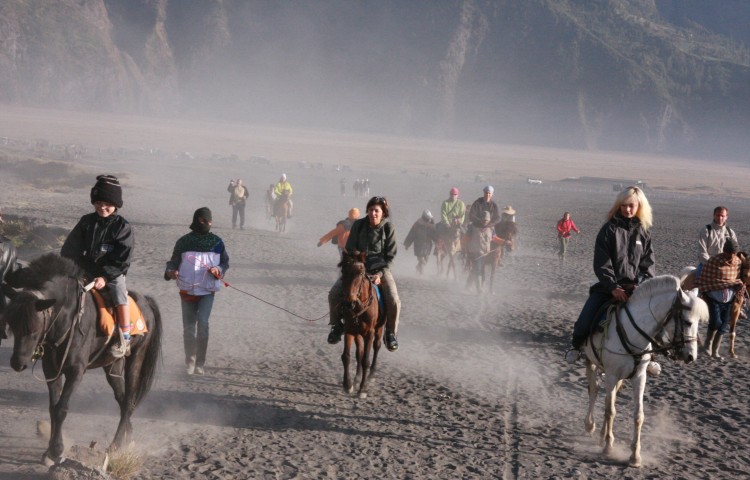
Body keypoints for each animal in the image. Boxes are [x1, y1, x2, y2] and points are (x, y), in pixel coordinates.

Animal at [1, 253, 162, 466]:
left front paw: (56, 451)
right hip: (112, 365)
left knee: (129, 400)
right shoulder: (51, 371)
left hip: (136, 358)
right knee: (122, 399)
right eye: (12, 324)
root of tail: (146, 301)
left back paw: (116, 445)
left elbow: (61, 408)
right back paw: (127, 437)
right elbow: (53, 408)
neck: (66, 319)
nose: (18, 363)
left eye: (34, 328)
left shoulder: (76, 371)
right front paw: (49, 451)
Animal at [340, 251, 388, 398]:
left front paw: (363, 389)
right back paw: (356, 378)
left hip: (379, 328)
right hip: (358, 333)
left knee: (376, 346)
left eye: (361, 273)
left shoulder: (370, 333)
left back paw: (370, 376)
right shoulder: (349, 330)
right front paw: (348, 385)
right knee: (359, 353)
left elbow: (366, 360)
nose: (349, 303)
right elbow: (346, 356)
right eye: (343, 271)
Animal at [580, 276, 708, 466]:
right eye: (687, 322)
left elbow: (638, 415)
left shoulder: (639, 377)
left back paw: (602, 435)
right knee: (594, 390)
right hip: (592, 362)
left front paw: (634, 456)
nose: (691, 356)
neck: (632, 333)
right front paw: (609, 447)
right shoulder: (611, 374)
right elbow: (610, 410)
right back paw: (590, 425)